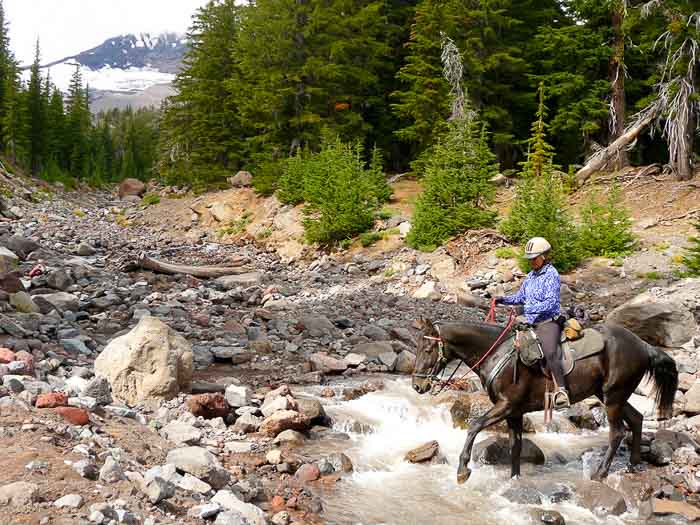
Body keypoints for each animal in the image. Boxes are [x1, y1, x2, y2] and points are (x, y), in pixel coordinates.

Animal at [412, 316, 676, 484]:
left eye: (428, 350)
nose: (417, 385)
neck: (498, 354)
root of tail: (643, 345)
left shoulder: (505, 406)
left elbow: (474, 426)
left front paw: (462, 470)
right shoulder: (514, 413)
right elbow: (515, 446)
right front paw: (515, 479)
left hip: (613, 397)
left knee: (617, 432)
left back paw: (600, 474)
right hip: (610, 395)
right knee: (637, 419)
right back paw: (632, 464)